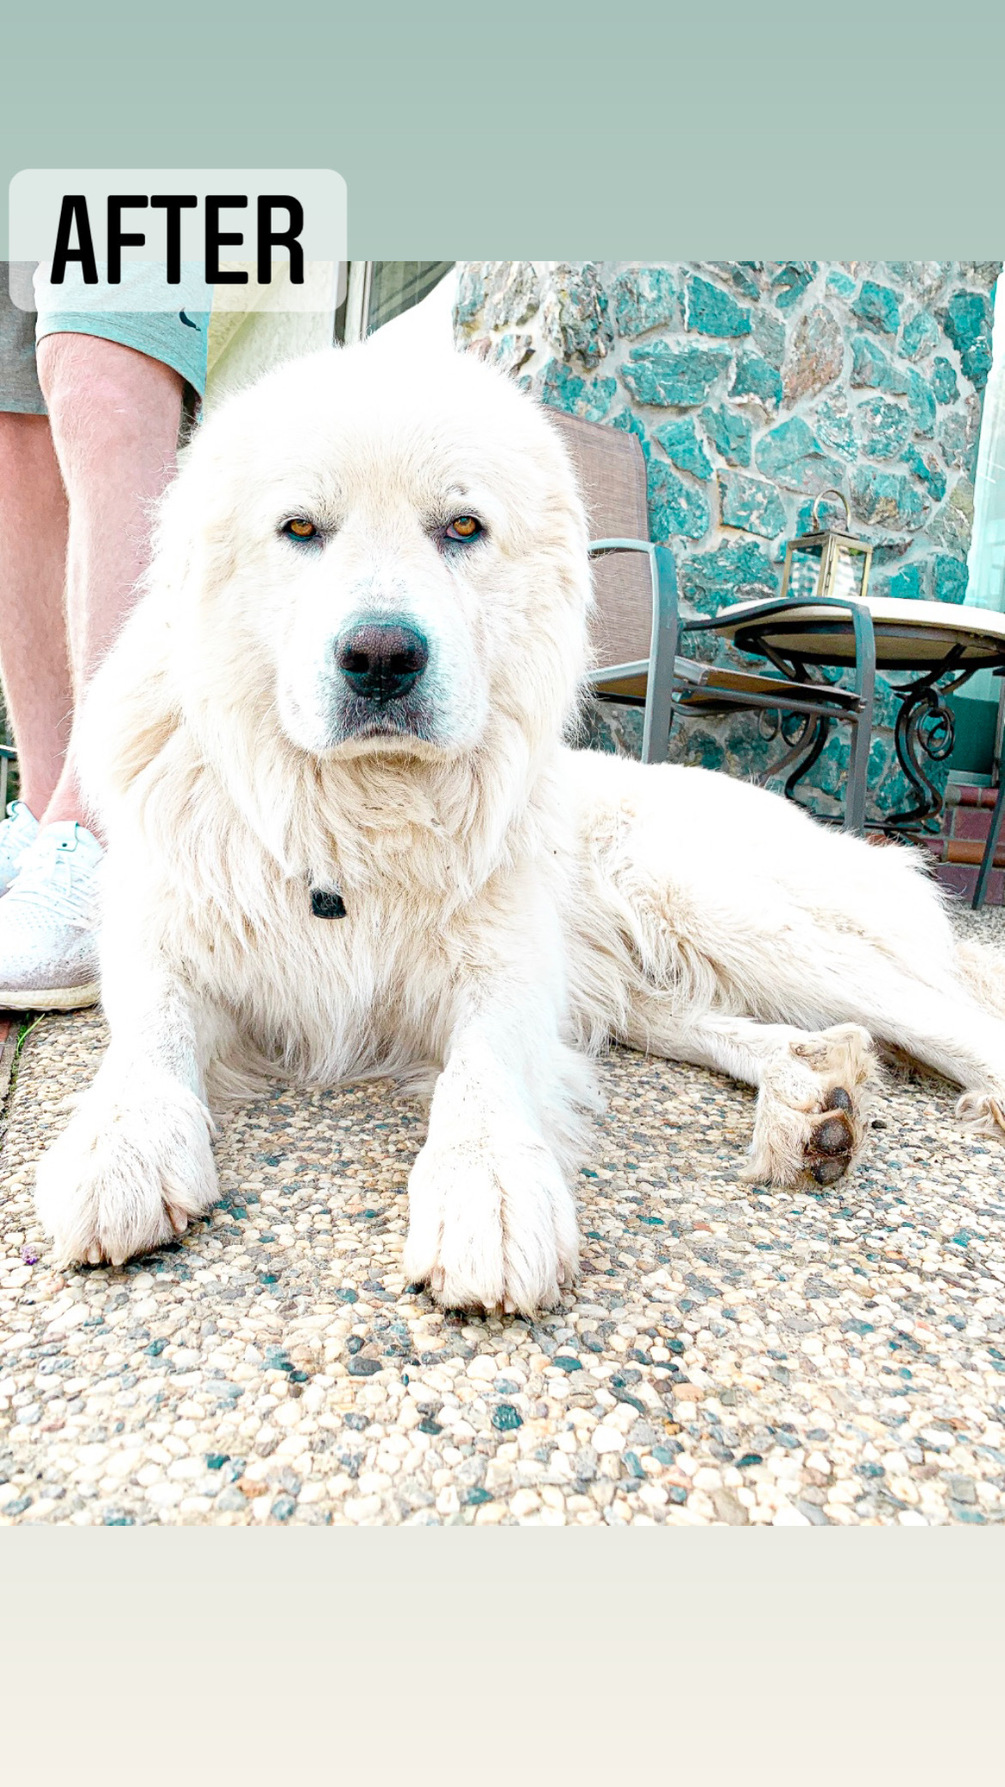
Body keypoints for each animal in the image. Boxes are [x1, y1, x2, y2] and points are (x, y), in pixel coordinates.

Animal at [33, 341, 1005, 1315]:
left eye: (462, 527)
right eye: (300, 528)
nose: (380, 658)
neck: (359, 807)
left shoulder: (503, 970)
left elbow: (482, 1069)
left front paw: (486, 1188)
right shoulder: (167, 942)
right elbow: (147, 1039)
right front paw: (123, 1145)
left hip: (705, 903)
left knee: (939, 1013)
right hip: (644, 979)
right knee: (760, 1028)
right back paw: (810, 1102)